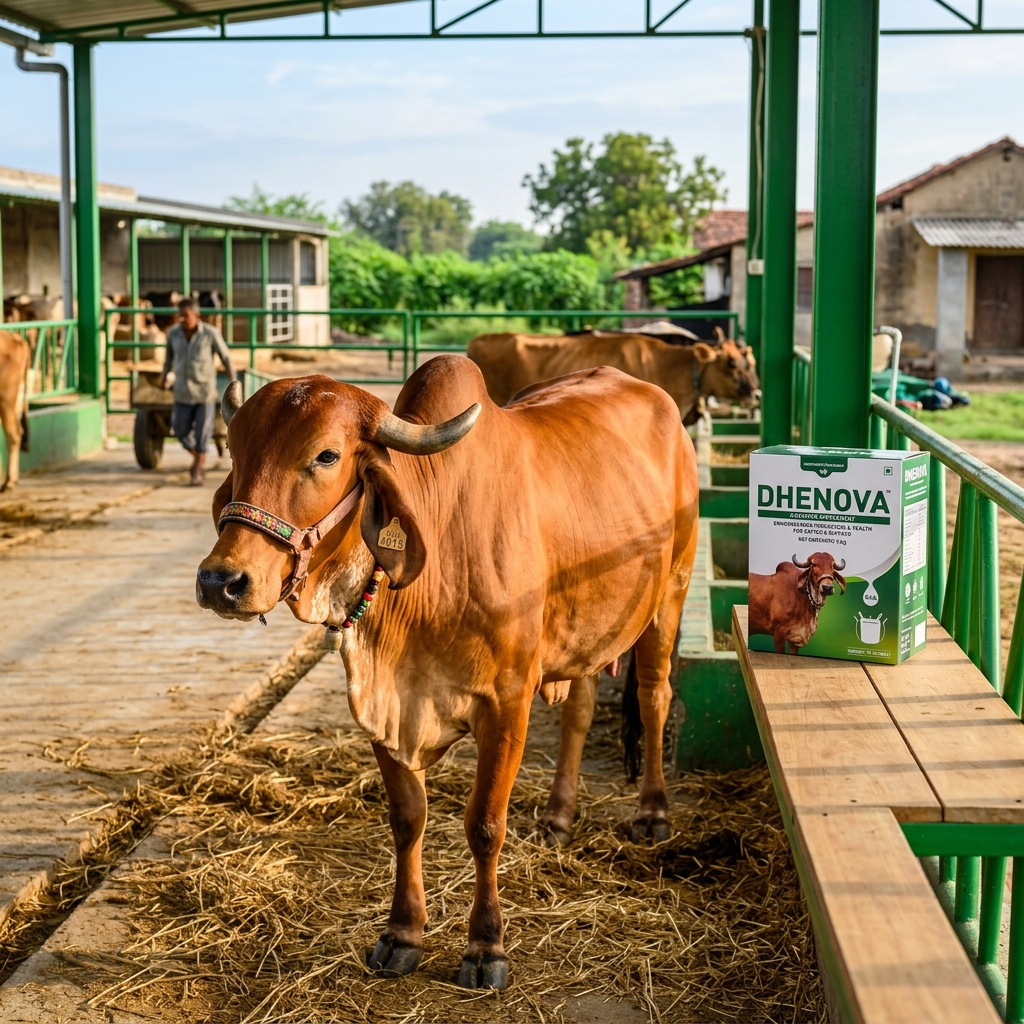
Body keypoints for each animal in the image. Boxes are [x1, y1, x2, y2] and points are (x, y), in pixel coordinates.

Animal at [196, 355, 699, 990]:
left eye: (326, 456)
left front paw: (487, 947)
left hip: (670, 595)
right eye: (235, 449)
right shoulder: (382, 707)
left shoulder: (508, 702)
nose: (221, 581)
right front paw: (402, 933)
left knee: (656, 696)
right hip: (585, 628)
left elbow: (484, 824)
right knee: (581, 710)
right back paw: (558, 816)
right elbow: (407, 818)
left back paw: (652, 812)